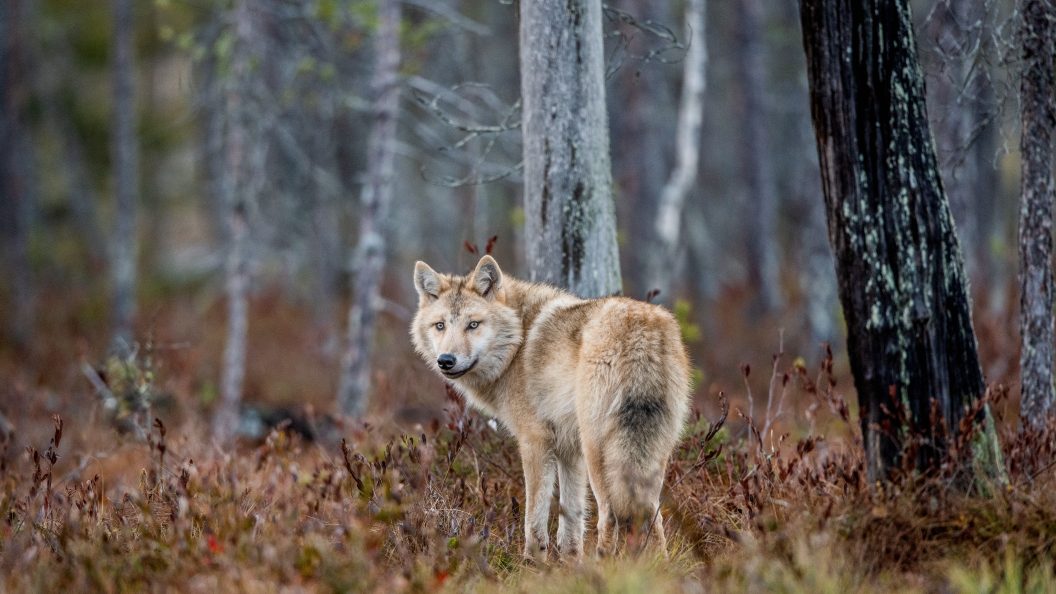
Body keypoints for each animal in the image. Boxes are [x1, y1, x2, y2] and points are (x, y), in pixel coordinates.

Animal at [411, 255, 692, 558]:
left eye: (473, 325)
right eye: (440, 325)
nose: (445, 360)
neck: (517, 345)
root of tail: (642, 329)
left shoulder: (535, 441)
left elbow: (534, 517)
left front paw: (532, 561)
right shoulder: (569, 451)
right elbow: (571, 521)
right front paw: (571, 563)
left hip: (598, 451)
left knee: (610, 516)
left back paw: (605, 563)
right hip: (650, 454)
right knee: (652, 516)